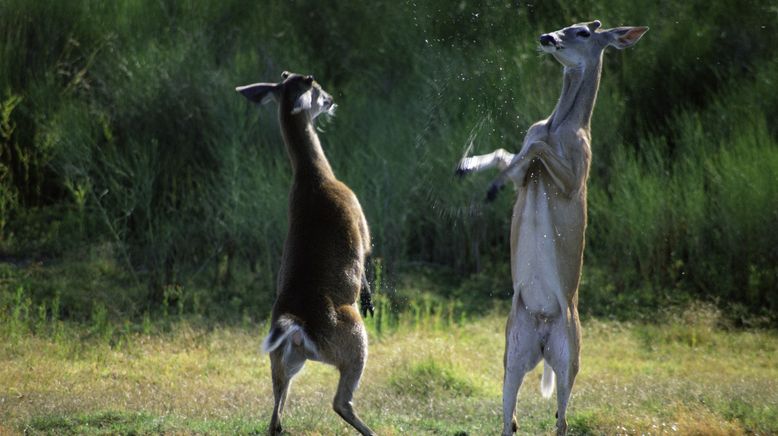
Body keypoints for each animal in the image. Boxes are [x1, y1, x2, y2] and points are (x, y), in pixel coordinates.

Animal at [235, 71, 374, 436]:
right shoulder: (362, 223)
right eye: (317, 87)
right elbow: (366, 256)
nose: (332, 99)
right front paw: (369, 297)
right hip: (353, 338)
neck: (315, 179)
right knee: (340, 400)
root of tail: (297, 328)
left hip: (282, 359)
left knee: (276, 416)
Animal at [458, 21, 644, 436]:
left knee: (562, 419)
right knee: (511, 418)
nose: (547, 38)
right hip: (513, 348)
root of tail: (543, 331)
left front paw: (489, 184)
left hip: (570, 352)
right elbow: (511, 153)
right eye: (568, 24)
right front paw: (469, 167)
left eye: (585, 31)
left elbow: (534, 152)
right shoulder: (532, 156)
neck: (561, 125)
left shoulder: (576, 176)